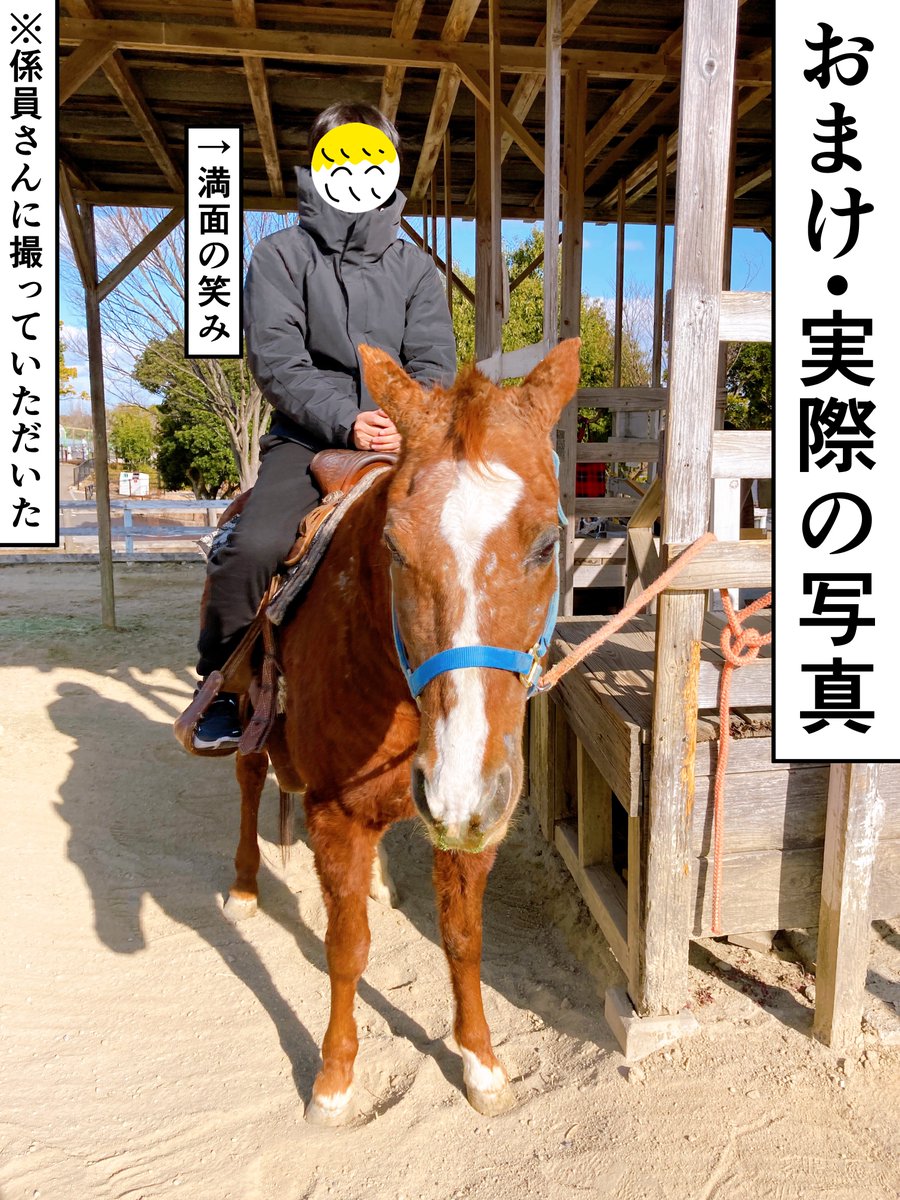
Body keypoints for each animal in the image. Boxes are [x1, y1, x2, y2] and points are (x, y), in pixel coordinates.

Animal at [224, 338, 581, 1124]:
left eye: (548, 543)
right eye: (394, 544)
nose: (457, 789)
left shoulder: (478, 815)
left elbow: (464, 938)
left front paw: (481, 1064)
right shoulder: (335, 812)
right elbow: (345, 947)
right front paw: (333, 1079)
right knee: (247, 776)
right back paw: (243, 887)